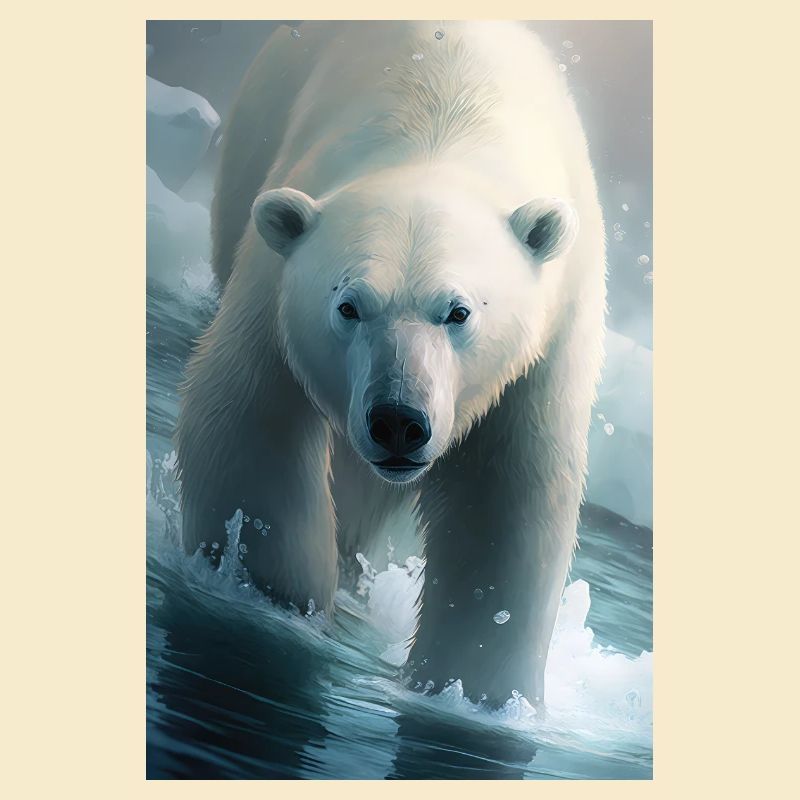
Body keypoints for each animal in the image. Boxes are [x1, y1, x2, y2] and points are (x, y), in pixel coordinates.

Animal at [176, 20, 606, 708]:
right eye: (348, 305)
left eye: (458, 311)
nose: (398, 421)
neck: (443, 126)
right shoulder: (277, 286)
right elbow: (249, 424)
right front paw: (277, 603)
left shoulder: (546, 343)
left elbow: (506, 506)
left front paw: (475, 690)